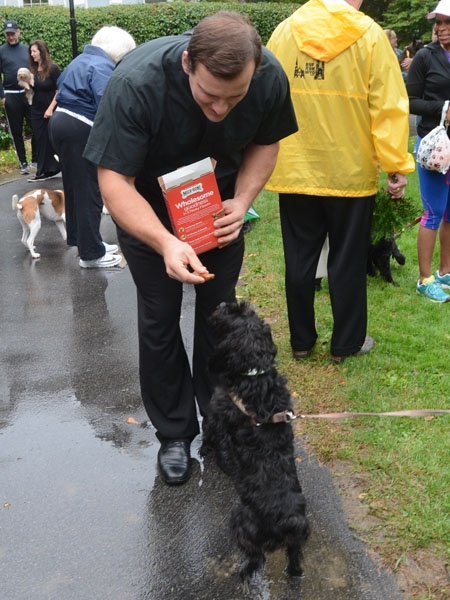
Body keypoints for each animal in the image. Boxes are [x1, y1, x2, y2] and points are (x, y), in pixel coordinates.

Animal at [200, 300, 310, 584]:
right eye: (244, 309)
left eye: (234, 312)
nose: (222, 303)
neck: (255, 373)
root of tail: (286, 522)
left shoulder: (216, 412)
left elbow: (209, 433)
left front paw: (205, 450)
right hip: (295, 542)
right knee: (295, 558)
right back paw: (293, 574)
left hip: (241, 521)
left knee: (255, 557)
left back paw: (243, 573)